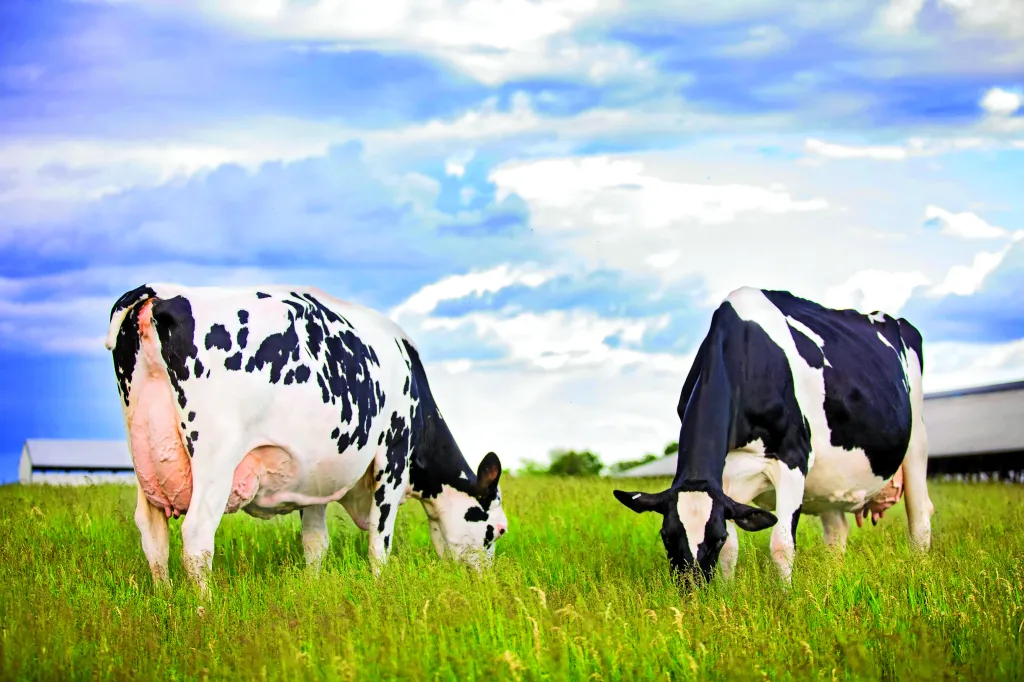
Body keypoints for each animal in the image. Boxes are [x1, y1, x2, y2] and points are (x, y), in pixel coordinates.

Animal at [104, 283, 508, 595]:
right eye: (498, 530)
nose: (483, 580)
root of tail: (159, 295)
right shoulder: (393, 457)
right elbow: (380, 542)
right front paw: (380, 586)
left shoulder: (314, 480)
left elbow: (316, 543)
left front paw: (313, 586)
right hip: (215, 459)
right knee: (197, 538)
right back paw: (204, 613)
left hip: (143, 454)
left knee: (153, 537)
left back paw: (167, 603)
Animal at [613, 286, 934, 587]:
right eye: (666, 536)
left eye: (716, 537)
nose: (692, 591)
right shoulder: (726, 482)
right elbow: (732, 551)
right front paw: (725, 596)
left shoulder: (792, 459)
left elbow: (782, 544)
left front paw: (786, 596)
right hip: (832, 479)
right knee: (836, 533)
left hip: (916, 441)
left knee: (919, 519)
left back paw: (920, 574)